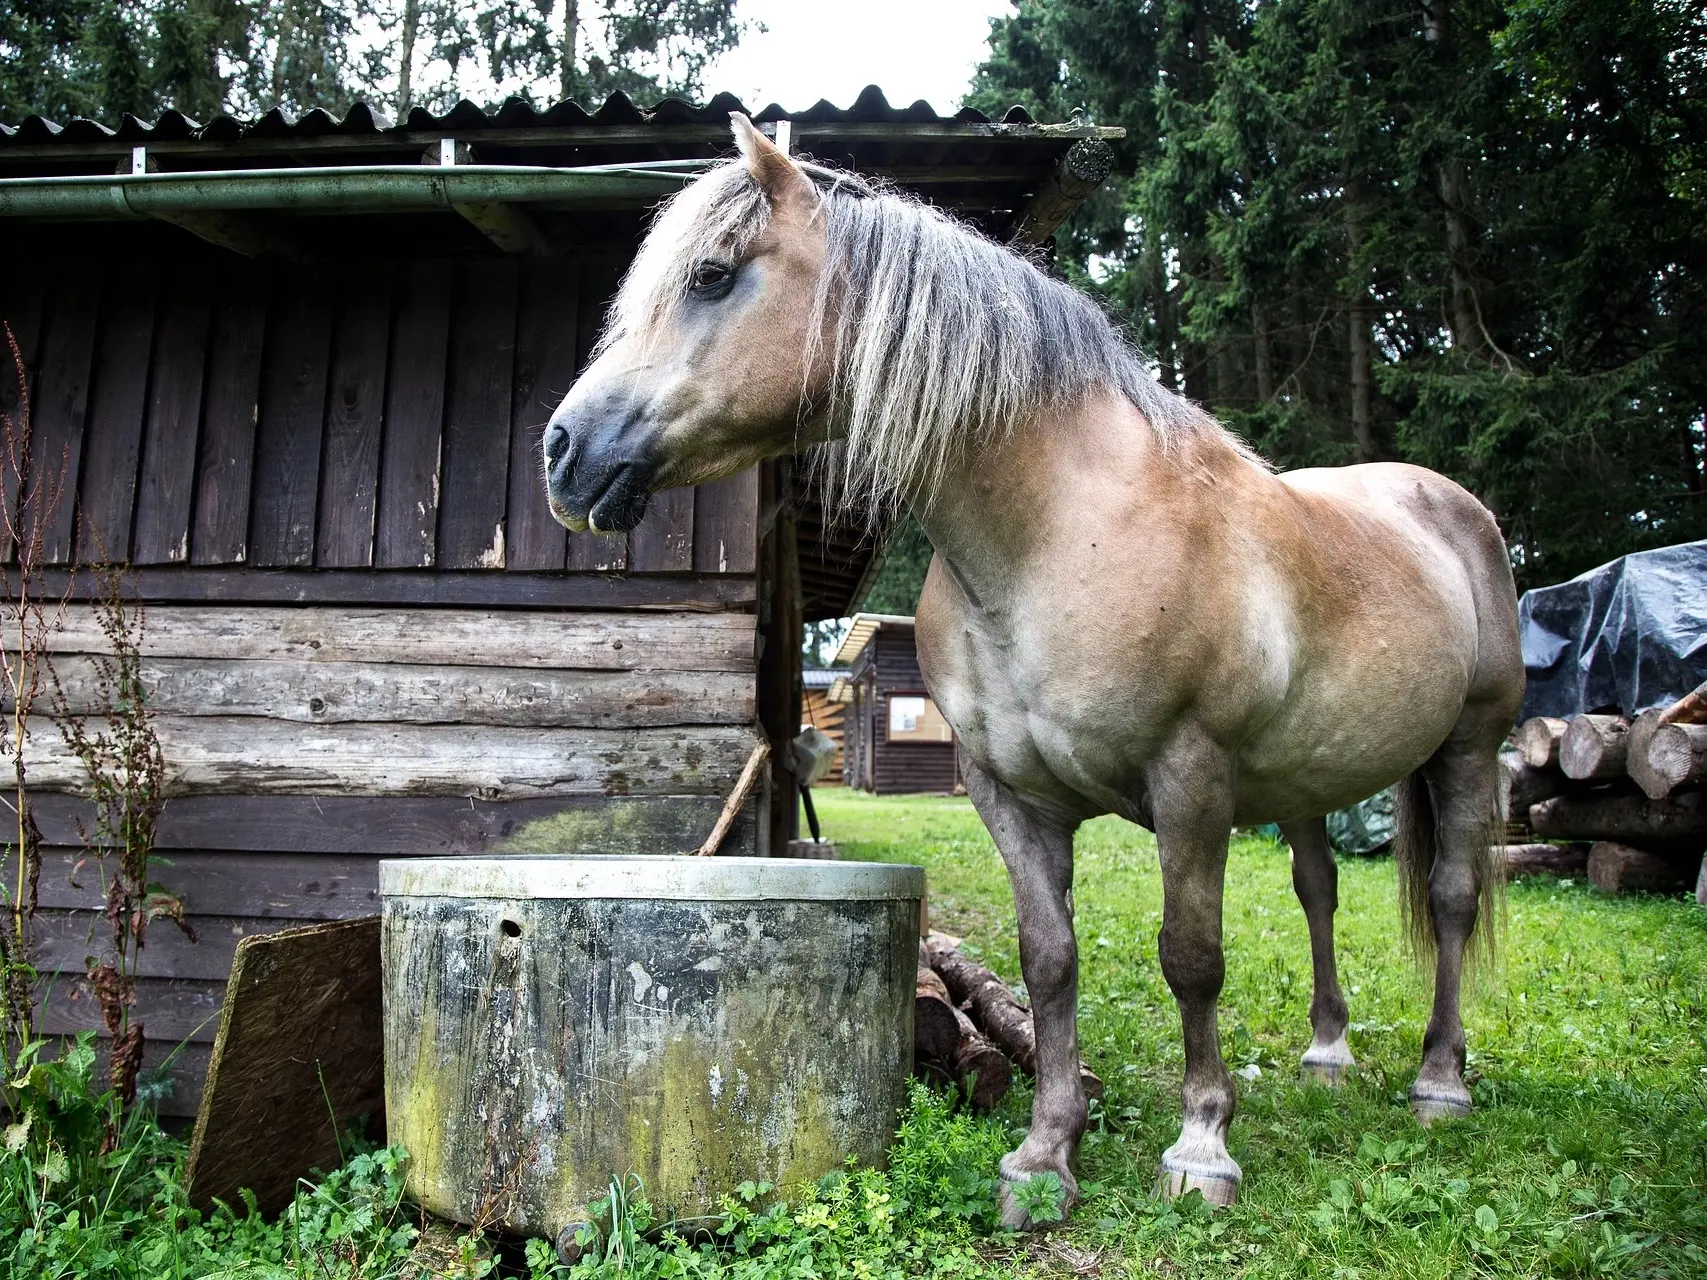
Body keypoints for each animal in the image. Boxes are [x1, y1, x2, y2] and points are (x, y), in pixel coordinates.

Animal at [542, 120, 1522, 1235]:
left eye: (711, 275)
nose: (563, 451)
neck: (1061, 533)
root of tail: (1448, 505)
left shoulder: (1190, 780)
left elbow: (1192, 957)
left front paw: (1201, 1143)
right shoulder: (1009, 793)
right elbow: (1048, 959)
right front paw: (1046, 1154)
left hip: (1467, 746)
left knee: (1450, 897)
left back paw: (1439, 1080)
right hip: (1303, 780)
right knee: (1318, 890)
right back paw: (1327, 1052)